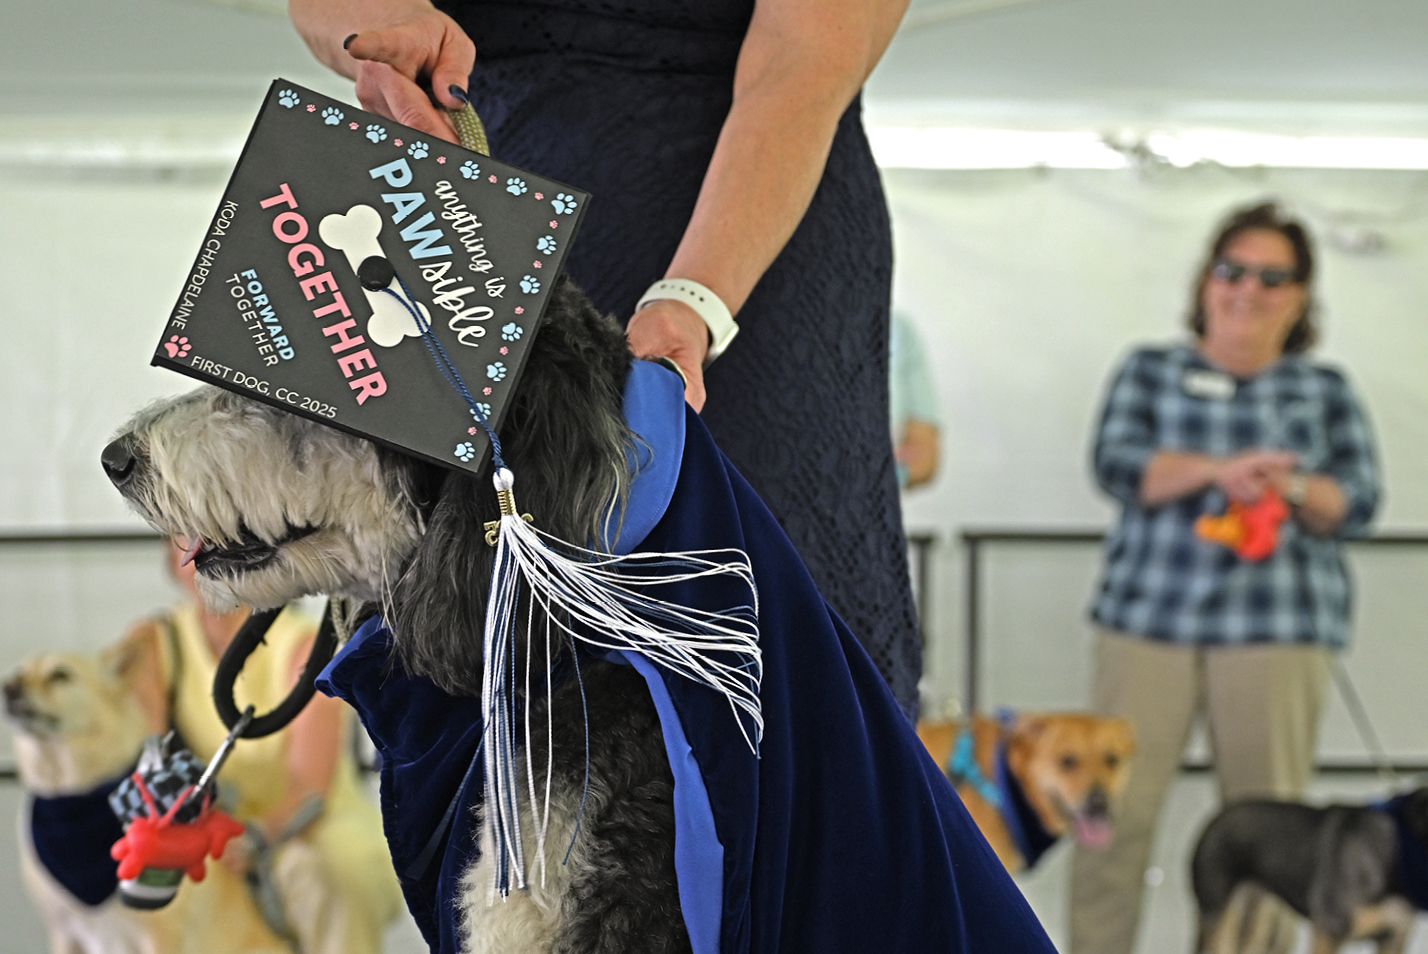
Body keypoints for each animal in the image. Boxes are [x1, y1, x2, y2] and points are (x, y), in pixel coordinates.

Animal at [4, 637, 289, 954]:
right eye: (18, 673)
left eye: (60, 675)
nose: (8, 688)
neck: (69, 798)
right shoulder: (63, 933)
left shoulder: (160, 935)